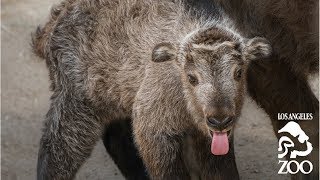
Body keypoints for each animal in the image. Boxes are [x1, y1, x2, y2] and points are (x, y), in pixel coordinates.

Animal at [33, 0, 270, 179]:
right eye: (192, 77)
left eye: (238, 72)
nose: (219, 120)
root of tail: (54, 21)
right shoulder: (154, 125)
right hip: (78, 100)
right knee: (57, 151)